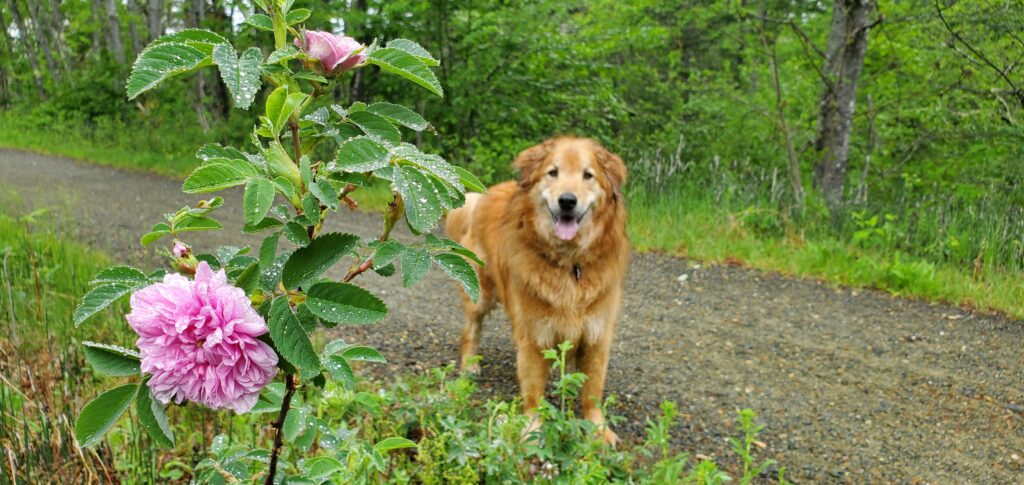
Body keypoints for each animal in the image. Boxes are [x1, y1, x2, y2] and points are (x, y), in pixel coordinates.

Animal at [444, 135, 626, 444]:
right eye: (553, 172)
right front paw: (532, 429)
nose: (567, 201)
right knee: (470, 331)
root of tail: (482, 195)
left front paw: (598, 430)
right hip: (480, 295)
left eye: (588, 175)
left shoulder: (597, 334)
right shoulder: (534, 335)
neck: (570, 264)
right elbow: (533, 391)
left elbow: (592, 392)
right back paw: (469, 365)